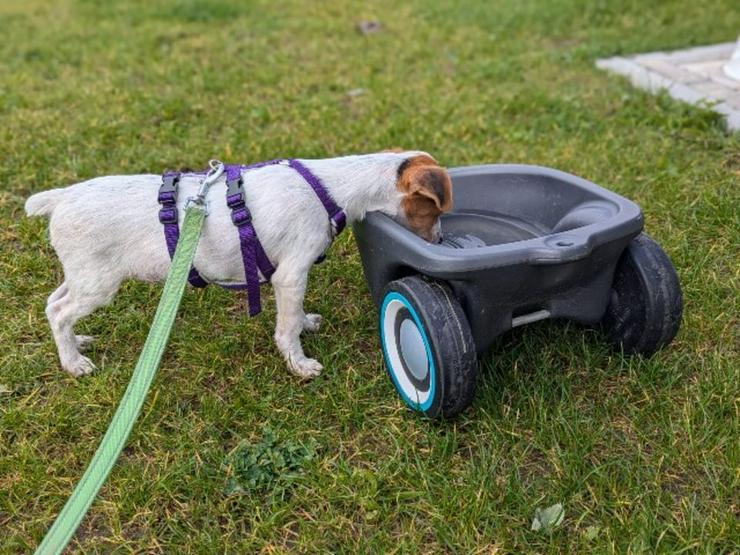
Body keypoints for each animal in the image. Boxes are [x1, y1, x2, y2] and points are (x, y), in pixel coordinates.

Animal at [27, 150, 450, 380]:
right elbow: (287, 327)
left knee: (52, 305)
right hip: (98, 284)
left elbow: (295, 317)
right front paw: (299, 363)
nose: (440, 241)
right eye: (434, 209)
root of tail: (61, 197)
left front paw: (307, 324)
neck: (327, 187)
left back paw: (77, 344)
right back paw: (74, 363)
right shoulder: (291, 274)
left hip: (82, 277)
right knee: (61, 313)